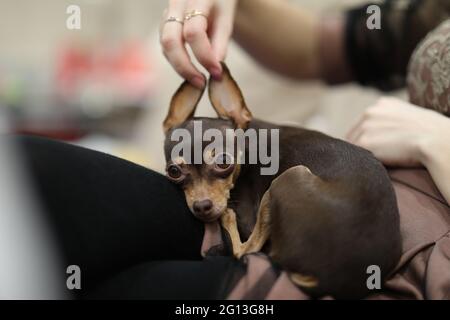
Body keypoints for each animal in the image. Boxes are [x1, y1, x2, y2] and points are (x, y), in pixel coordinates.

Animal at [162, 63, 400, 300]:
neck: (245, 146)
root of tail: (329, 281)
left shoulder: (249, 218)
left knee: (245, 251)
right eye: (173, 171)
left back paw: (228, 219)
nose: (202, 206)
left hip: (288, 178)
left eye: (223, 162)